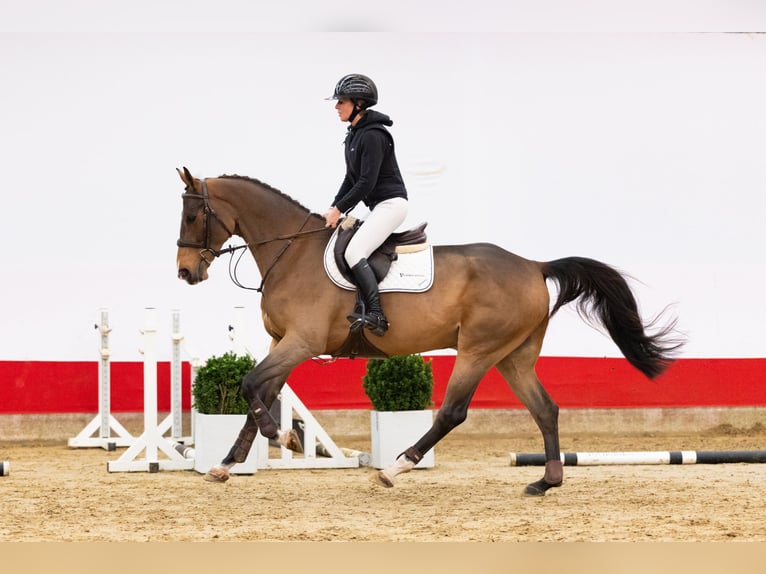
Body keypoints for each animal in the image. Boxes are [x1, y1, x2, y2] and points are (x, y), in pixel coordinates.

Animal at [175, 167, 683, 496]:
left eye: (192, 217)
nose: (185, 273)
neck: (291, 252)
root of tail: (534, 266)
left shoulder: (301, 343)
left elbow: (249, 384)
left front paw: (284, 439)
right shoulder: (281, 342)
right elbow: (259, 392)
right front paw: (227, 464)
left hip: (478, 350)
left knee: (453, 412)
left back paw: (396, 468)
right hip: (513, 357)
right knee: (546, 409)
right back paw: (545, 481)